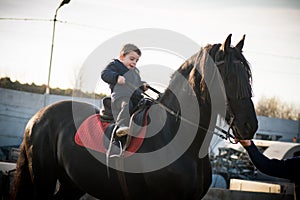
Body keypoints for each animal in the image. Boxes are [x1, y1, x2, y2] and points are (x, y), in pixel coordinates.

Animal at [11, 34, 258, 198]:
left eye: (247, 76)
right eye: (228, 77)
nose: (250, 125)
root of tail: (38, 118)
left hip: (72, 185)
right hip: (43, 180)